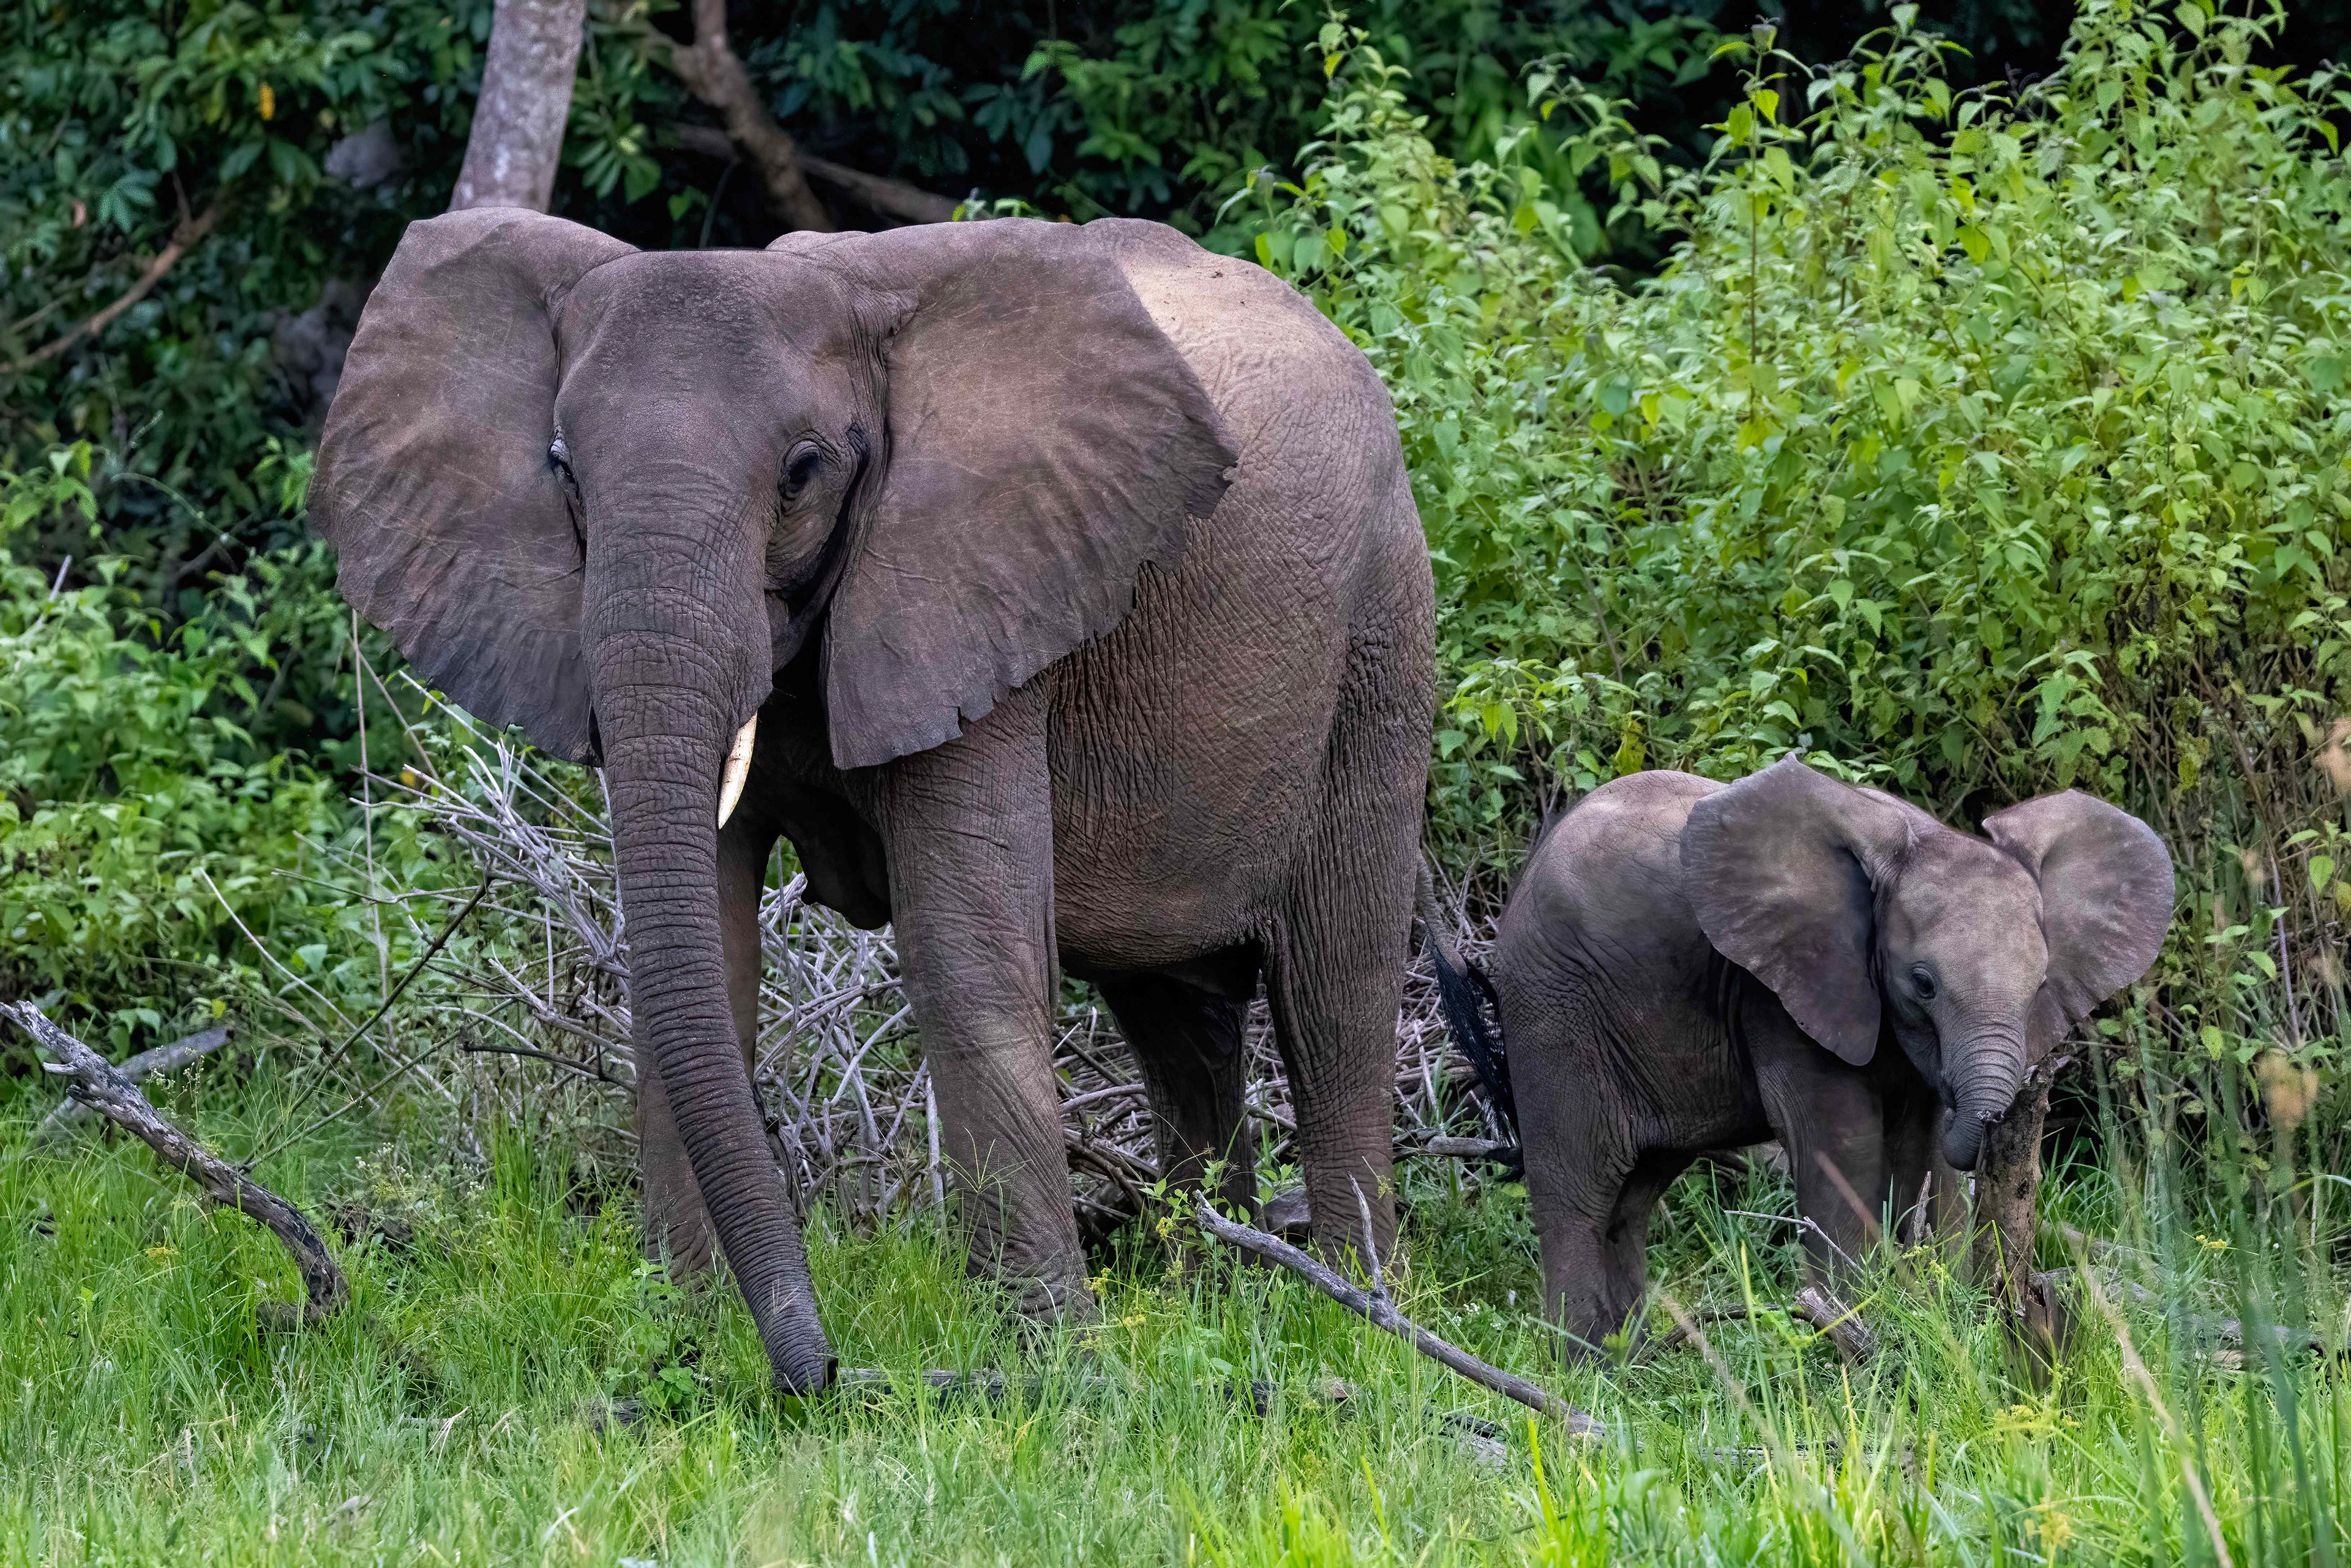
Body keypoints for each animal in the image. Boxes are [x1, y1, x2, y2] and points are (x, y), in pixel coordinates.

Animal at [311, 209, 1435, 1393]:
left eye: (803, 472)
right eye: (563, 472)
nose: (819, 1371)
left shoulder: (982, 586)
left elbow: (966, 960)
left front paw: (1048, 1367)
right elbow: (707, 959)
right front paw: (681, 1337)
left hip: (1381, 630)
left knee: (1334, 991)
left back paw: (1365, 1321)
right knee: (1180, 1016)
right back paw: (1206, 1305)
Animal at [1428, 756, 2171, 1355]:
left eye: (2041, 983)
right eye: (1923, 983)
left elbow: (1925, 1145)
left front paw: (1932, 1311)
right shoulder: (1784, 991)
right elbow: (1843, 1142)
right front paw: (1861, 1332)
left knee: (1632, 1195)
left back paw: (1635, 1361)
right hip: (1552, 1011)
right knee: (1577, 1187)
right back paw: (1587, 1373)